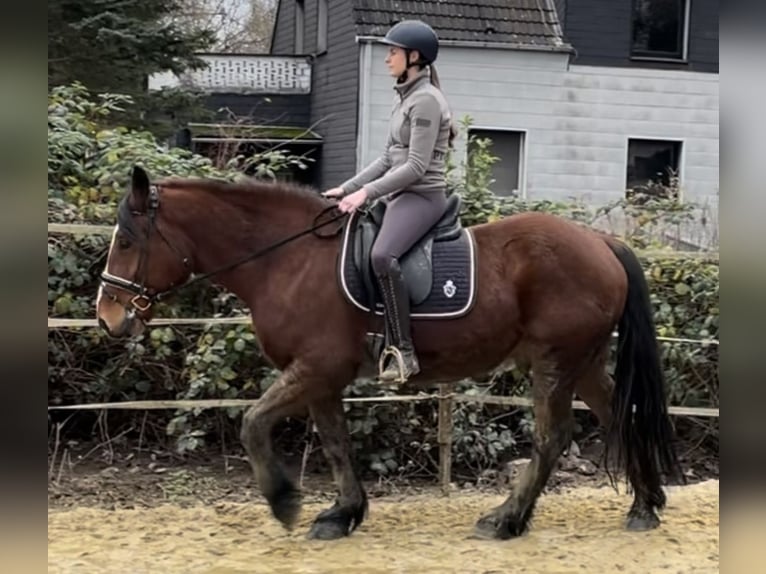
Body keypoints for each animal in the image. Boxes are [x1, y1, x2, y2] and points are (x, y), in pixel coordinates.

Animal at [97, 165, 684, 540]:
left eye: (126, 241)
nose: (107, 316)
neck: (287, 260)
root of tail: (601, 242)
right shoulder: (321, 378)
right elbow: (335, 442)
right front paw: (342, 514)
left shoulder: (314, 368)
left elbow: (252, 422)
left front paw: (285, 502)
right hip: (583, 362)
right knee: (620, 414)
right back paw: (645, 505)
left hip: (554, 362)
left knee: (552, 437)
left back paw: (506, 520)